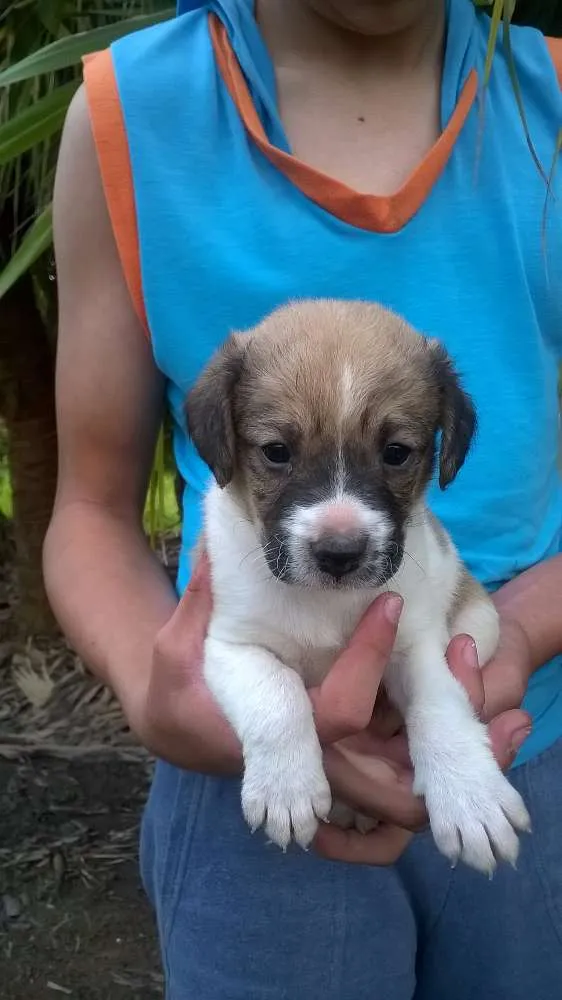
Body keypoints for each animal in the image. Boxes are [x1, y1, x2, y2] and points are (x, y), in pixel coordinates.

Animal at [185, 298, 528, 876]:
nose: (340, 554)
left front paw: (470, 794)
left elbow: (441, 706)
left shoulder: (416, 643)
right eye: (276, 450)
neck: (327, 602)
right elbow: (277, 695)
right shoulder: (231, 645)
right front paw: (286, 789)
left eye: (396, 452)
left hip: (478, 621)